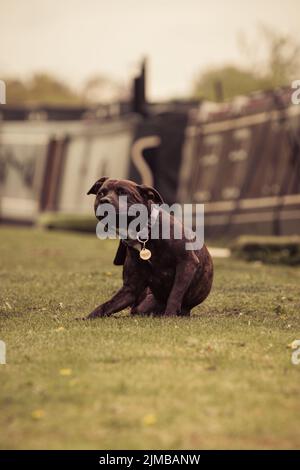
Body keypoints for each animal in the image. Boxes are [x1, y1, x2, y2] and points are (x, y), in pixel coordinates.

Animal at [84, 177, 213, 320]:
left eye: (123, 193)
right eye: (101, 193)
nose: (104, 200)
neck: (144, 234)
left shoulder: (187, 263)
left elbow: (175, 293)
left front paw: (169, 316)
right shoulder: (131, 288)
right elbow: (106, 305)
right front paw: (86, 318)